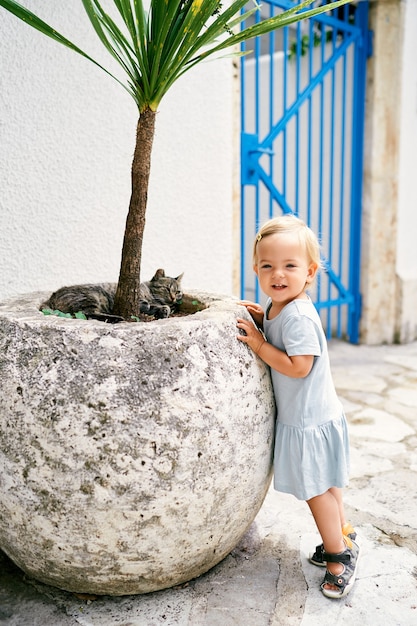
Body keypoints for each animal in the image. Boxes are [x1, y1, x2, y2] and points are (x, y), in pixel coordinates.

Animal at [40, 266, 184, 322]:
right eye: (167, 288)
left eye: (178, 292)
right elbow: (146, 304)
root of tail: (50, 298)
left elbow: (162, 307)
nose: (173, 298)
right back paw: (116, 318)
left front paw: (163, 311)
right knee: (87, 314)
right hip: (91, 297)